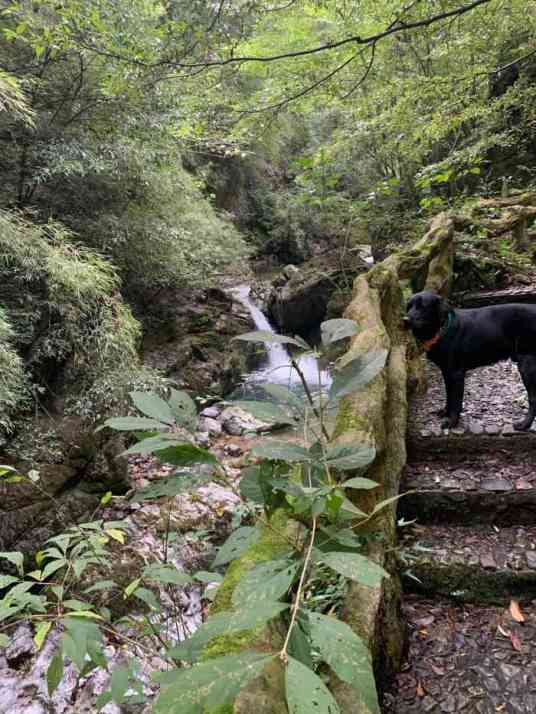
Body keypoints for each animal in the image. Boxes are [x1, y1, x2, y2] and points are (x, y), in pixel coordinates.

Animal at [404, 290, 536, 428]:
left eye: (422, 306)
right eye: (408, 307)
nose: (405, 320)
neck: (442, 330)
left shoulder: (456, 373)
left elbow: (456, 401)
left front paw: (452, 421)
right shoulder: (446, 371)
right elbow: (449, 395)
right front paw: (445, 412)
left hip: (527, 365)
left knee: (533, 399)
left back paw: (525, 424)